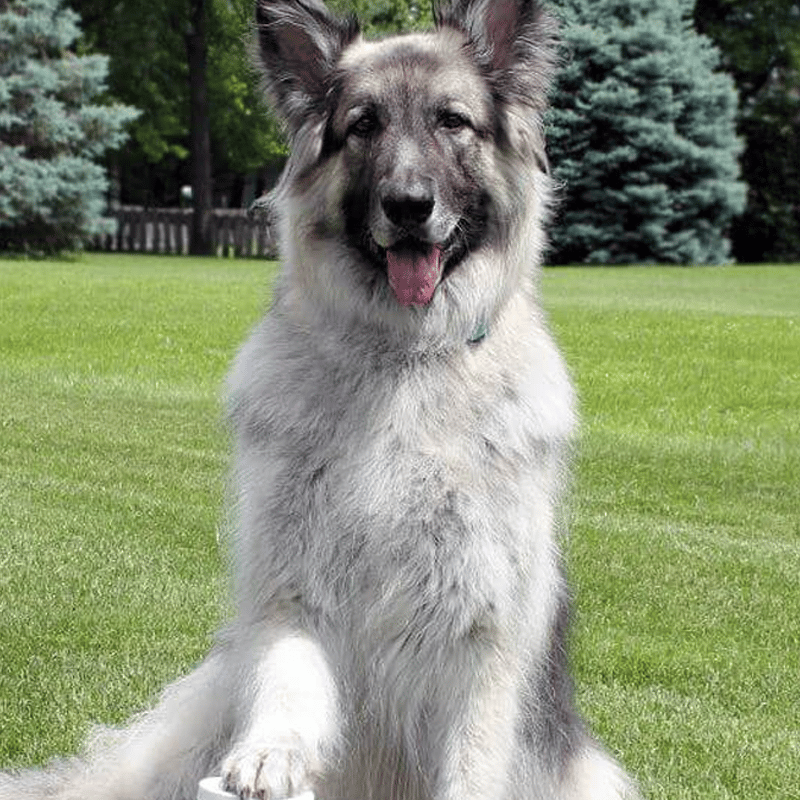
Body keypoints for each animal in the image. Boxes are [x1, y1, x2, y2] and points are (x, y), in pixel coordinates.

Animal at [0, 1, 636, 800]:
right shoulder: (292, 586)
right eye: (363, 126)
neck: (403, 360)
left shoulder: (483, 633)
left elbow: (473, 754)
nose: (408, 206)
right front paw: (272, 755)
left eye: (452, 121)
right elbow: (291, 680)